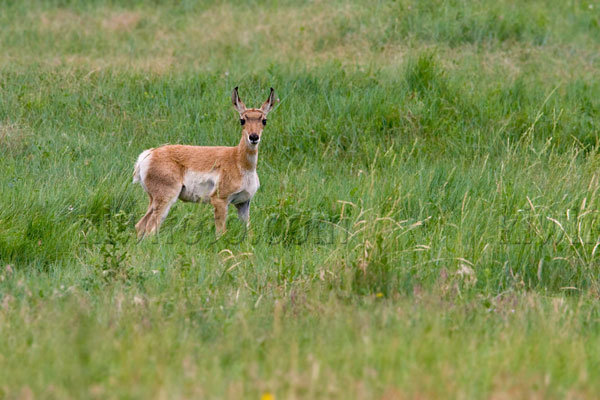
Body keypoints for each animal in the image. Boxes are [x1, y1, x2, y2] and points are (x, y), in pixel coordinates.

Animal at [132, 86, 276, 238]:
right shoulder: (220, 201)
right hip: (166, 198)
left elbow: (249, 232)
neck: (238, 160)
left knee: (140, 225)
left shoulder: (243, 203)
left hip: (154, 200)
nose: (253, 137)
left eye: (264, 120)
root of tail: (148, 154)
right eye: (242, 120)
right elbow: (221, 233)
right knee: (151, 228)